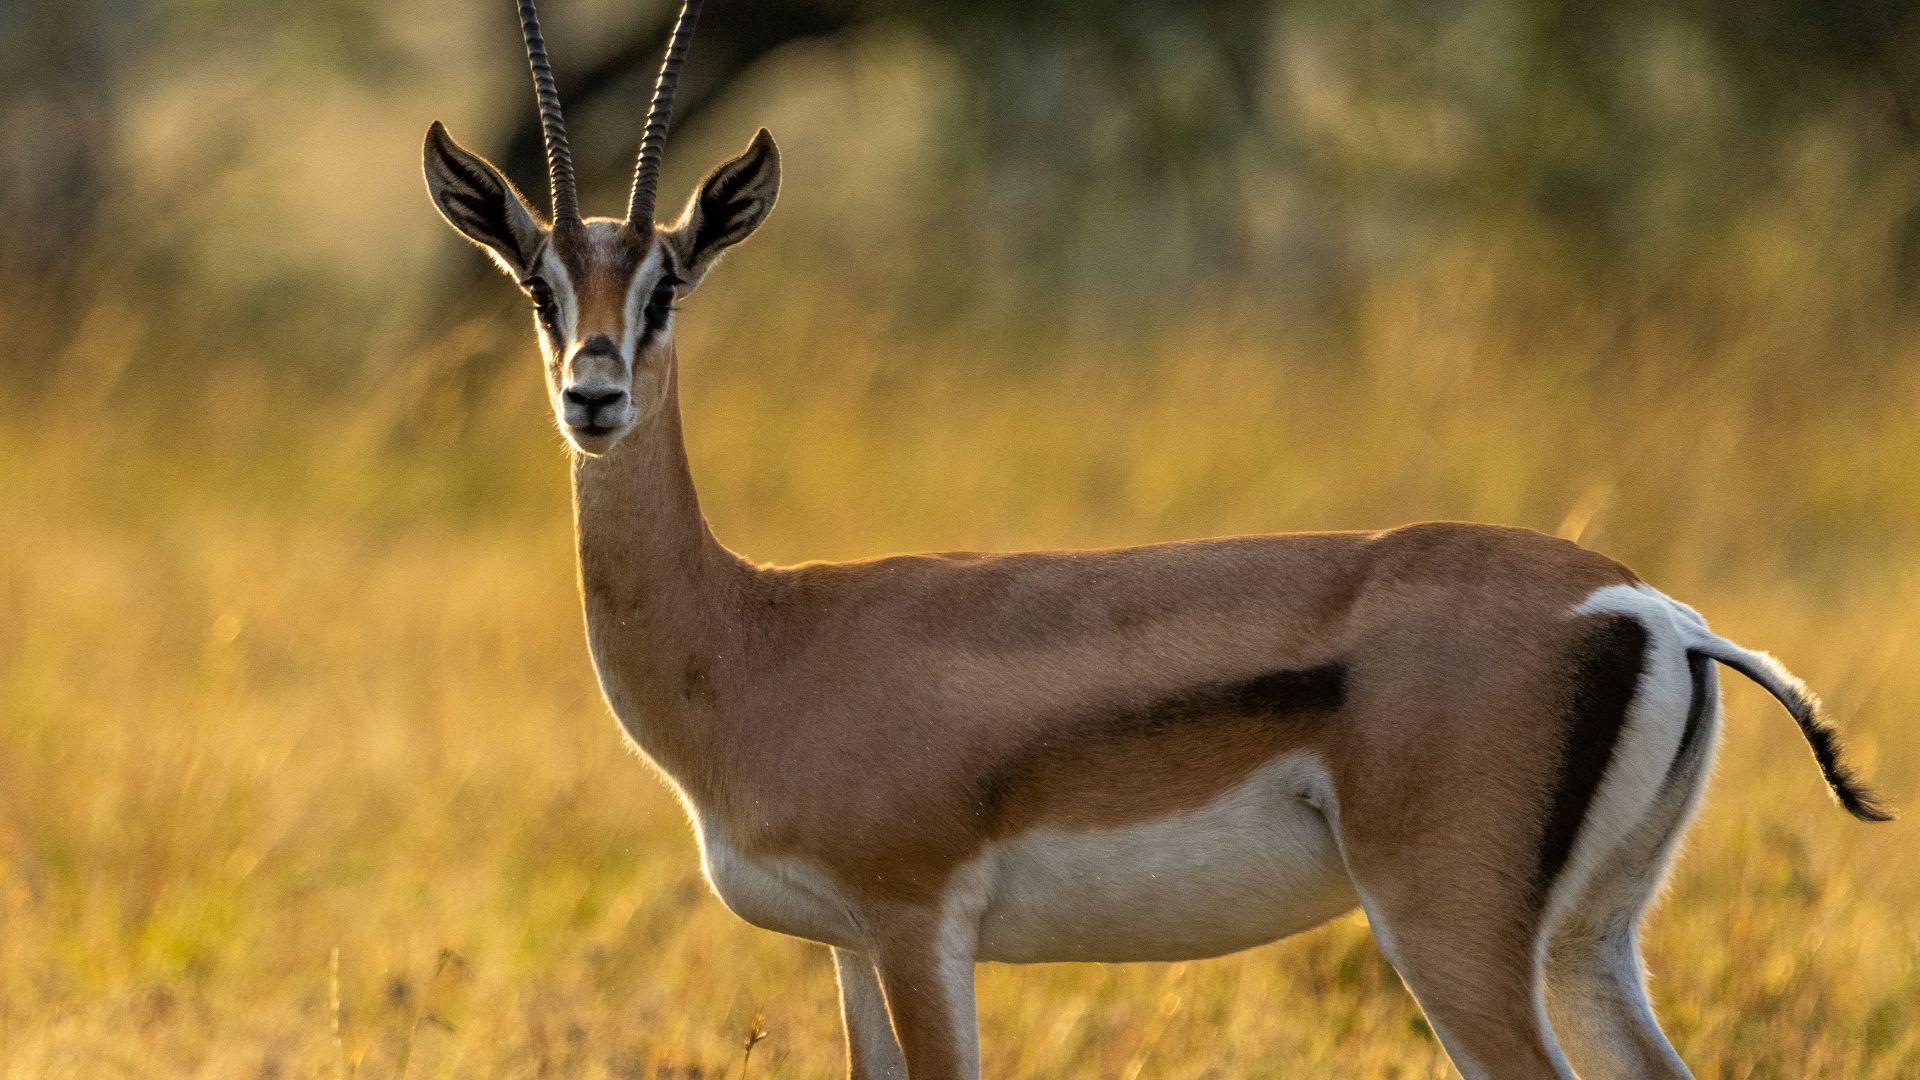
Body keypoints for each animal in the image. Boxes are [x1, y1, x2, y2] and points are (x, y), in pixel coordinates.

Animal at [421, 3, 1893, 1077]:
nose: (593, 394)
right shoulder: (846, 947)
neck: (759, 639)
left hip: (1452, 939)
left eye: (668, 284)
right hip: (1592, 944)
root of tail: (1653, 615)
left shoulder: (917, 927)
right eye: (538, 281)